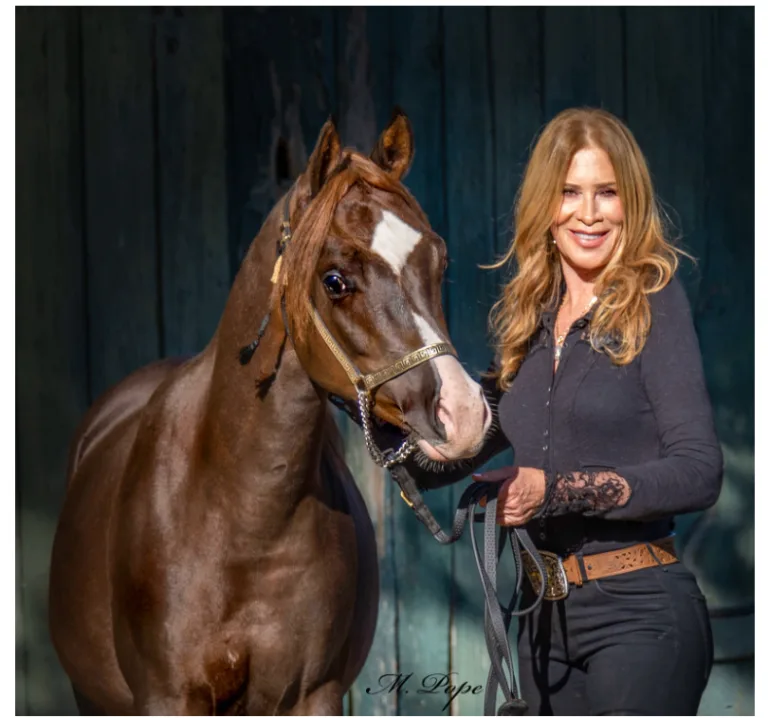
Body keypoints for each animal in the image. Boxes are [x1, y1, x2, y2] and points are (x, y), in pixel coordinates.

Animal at [49, 110, 492, 715]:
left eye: (440, 264)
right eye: (334, 280)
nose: (463, 412)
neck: (245, 520)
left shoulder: (314, 694)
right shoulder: (168, 697)